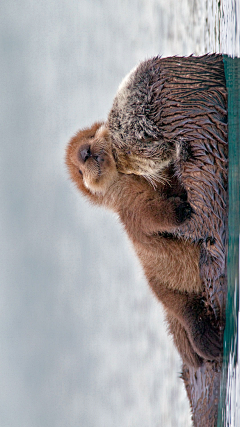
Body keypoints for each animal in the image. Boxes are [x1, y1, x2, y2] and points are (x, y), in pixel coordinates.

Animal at [65, 122, 223, 370]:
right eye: (80, 172)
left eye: (89, 137)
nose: (85, 152)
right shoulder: (133, 208)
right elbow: (150, 216)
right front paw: (180, 210)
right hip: (161, 286)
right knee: (186, 310)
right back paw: (207, 344)